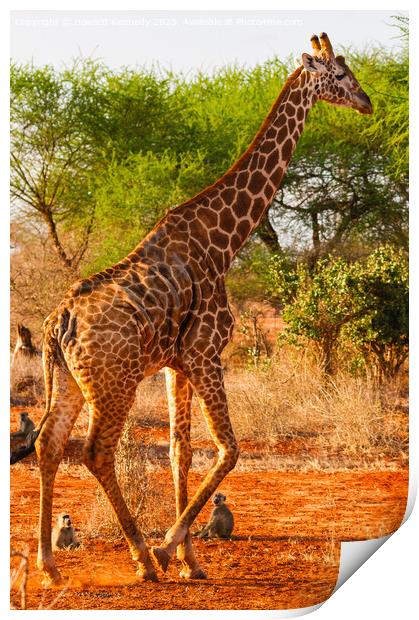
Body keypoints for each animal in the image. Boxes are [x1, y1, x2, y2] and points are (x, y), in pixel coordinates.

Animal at [12, 34, 374, 588]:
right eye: (339, 73)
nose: (367, 101)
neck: (224, 241)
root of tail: (58, 324)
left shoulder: (174, 364)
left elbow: (180, 453)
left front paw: (192, 562)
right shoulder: (207, 353)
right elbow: (229, 448)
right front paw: (167, 550)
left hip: (70, 378)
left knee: (50, 444)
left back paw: (51, 568)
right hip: (114, 383)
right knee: (95, 450)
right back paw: (141, 556)